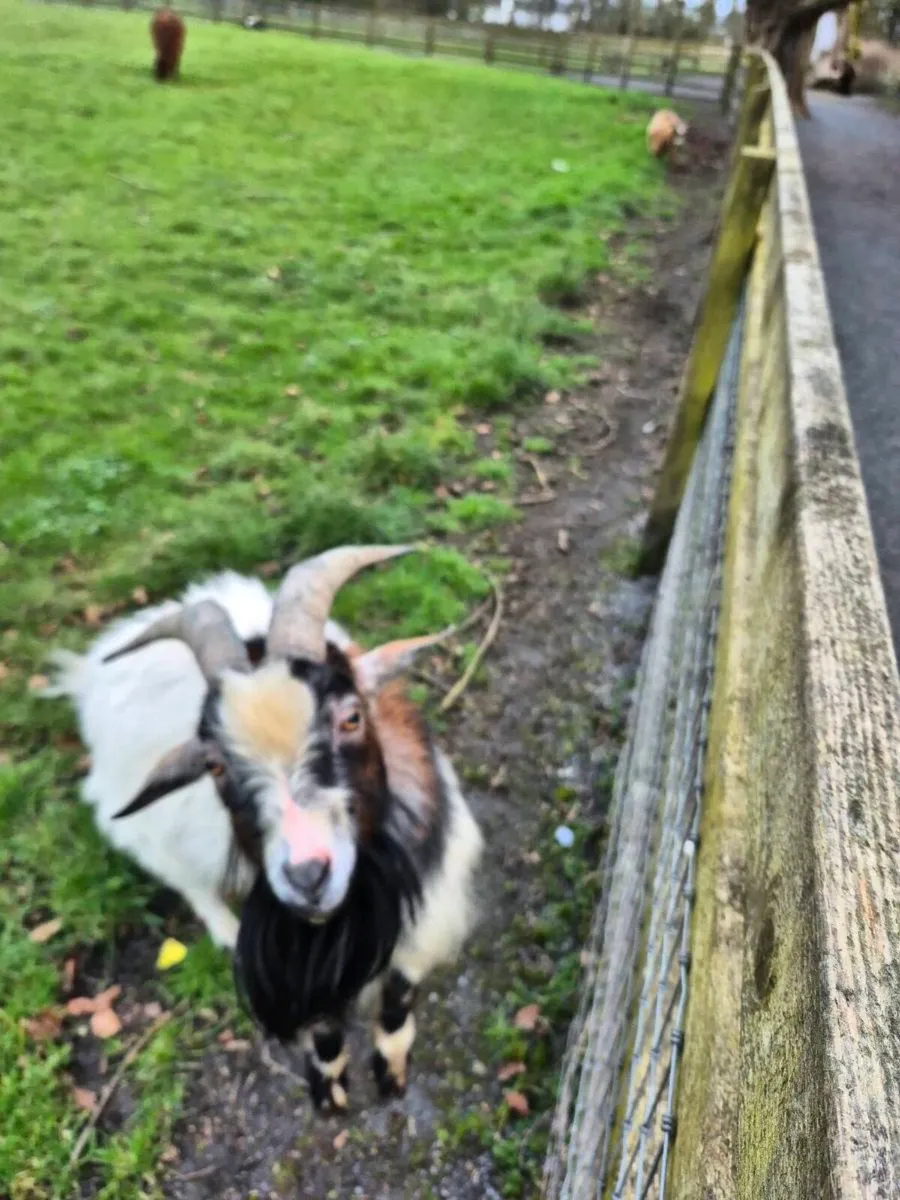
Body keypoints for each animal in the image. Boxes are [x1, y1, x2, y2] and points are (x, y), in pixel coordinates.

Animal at [49, 546, 483, 1108]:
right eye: (213, 765)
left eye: (351, 717)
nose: (307, 876)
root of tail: (91, 671)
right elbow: (321, 1026)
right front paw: (331, 1091)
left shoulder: (426, 914)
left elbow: (398, 995)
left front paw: (390, 1073)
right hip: (146, 836)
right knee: (190, 884)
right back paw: (226, 928)